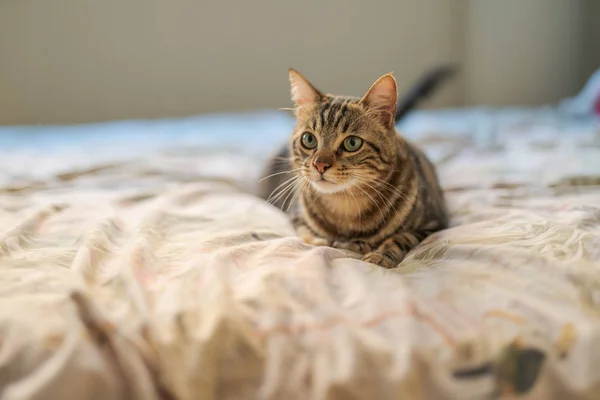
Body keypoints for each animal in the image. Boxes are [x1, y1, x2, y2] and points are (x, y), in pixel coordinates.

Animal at [258, 69, 450, 268]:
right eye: (309, 139)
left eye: (352, 143)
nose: (320, 164)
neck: (345, 204)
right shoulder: (296, 216)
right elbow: (309, 234)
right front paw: (327, 241)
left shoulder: (433, 224)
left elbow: (400, 238)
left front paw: (379, 255)